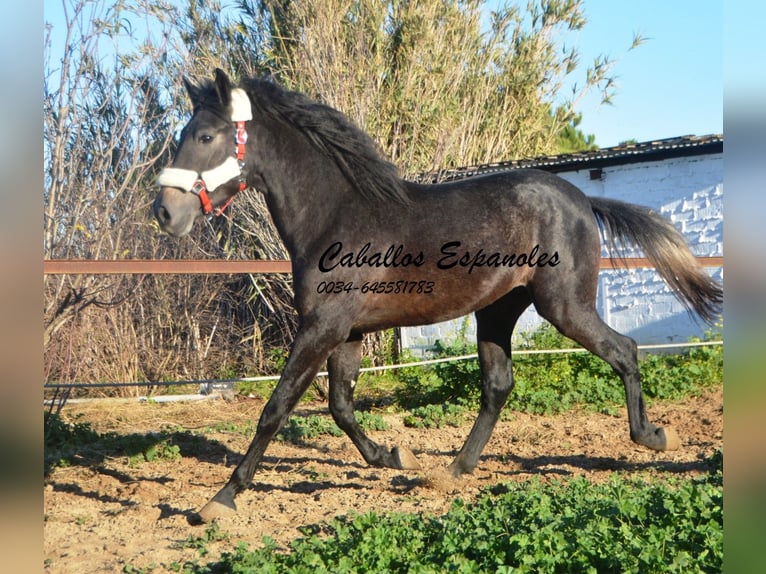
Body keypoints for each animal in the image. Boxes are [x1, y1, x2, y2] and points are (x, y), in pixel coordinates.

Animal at [153, 70, 724, 524]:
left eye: (205, 135)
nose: (164, 213)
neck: (336, 216)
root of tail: (582, 198)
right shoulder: (346, 332)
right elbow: (340, 405)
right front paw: (394, 456)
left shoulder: (320, 328)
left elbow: (277, 407)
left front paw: (219, 500)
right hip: (497, 311)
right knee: (498, 385)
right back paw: (452, 470)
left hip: (564, 307)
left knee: (623, 350)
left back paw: (653, 437)